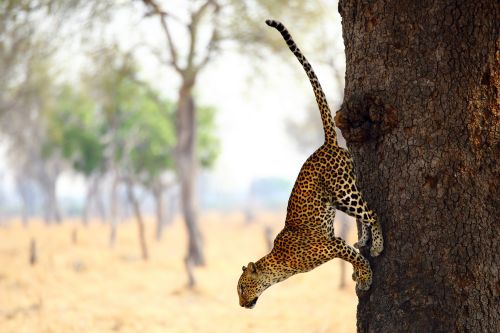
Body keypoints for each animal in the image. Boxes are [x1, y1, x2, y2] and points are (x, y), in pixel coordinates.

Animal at [236, 19, 384, 308]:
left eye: (241, 287)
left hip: (344, 191)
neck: (279, 266)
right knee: (363, 215)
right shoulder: (333, 241)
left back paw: (377, 245)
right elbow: (354, 257)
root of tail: (326, 144)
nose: (240, 304)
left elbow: (357, 259)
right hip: (339, 196)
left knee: (371, 212)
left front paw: (365, 278)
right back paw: (363, 239)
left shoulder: (333, 243)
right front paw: (361, 273)